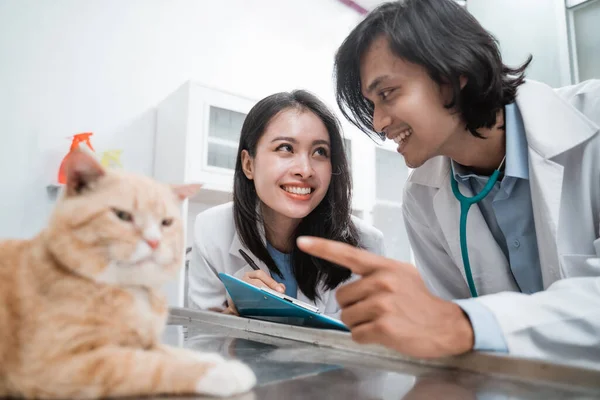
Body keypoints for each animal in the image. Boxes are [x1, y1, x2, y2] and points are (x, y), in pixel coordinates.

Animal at [0, 152, 255, 398]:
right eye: (122, 216)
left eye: (166, 222)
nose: (154, 241)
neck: (133, 291)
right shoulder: (55, 365)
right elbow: (153, 365)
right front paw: (224, 372)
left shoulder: (146, 342)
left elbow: (172, 352)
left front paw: (212, 359)